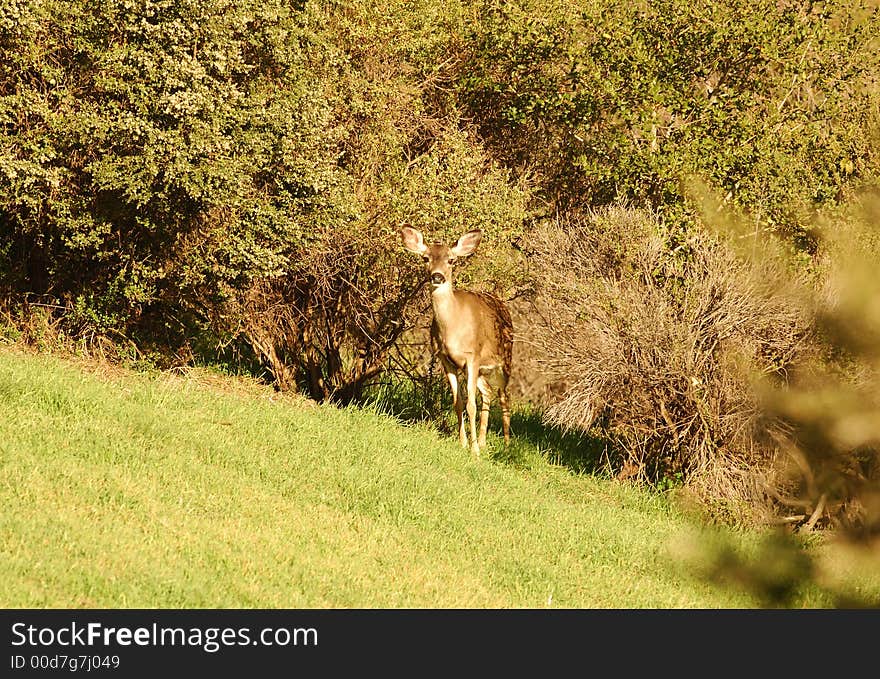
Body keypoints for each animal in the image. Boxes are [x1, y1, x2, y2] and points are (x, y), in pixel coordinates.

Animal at [400, 224, 512, 456]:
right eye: (426, 258)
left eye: (451, 260)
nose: (437, 276)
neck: (452, 328)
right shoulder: (446, 359)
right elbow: (458, 402)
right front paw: (464, 444)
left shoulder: (472, 355)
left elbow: (471, 405)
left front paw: (474, 451)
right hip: (482, 370)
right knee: (488, 392)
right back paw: (484, 441)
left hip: (505, 359)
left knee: (505, 398)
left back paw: (506, 446)